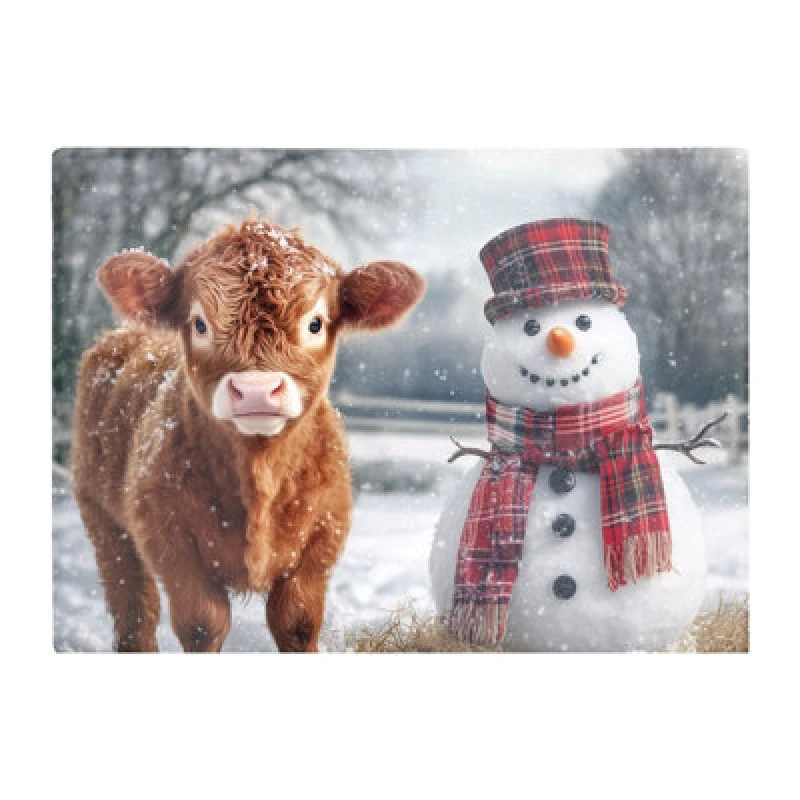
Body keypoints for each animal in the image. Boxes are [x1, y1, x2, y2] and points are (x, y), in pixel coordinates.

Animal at [71, 219, 425, 652]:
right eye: (200, 323)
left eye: (315, 323)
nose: (257, 390)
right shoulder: (169, 542)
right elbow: (203, 625)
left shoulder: (323, 539)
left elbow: (297, 623)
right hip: (104, 519)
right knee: (135, 610)